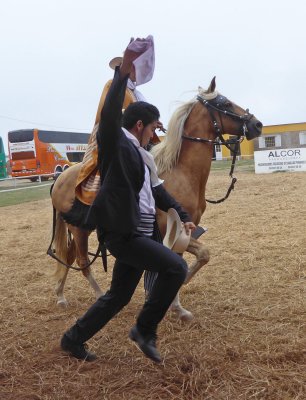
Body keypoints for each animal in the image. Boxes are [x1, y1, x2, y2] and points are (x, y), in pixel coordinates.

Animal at [49, 78, 262, 320]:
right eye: (225, 103)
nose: (257, 125)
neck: (181, 171)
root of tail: (60, 178)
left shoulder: (187, 228)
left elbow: (196, 257)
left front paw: (176, 301)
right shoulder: (168, 229)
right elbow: (194, 256)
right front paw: (175, 302)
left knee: (68, 257)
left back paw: (61, 296)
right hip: (79, 230)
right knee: (83, 263)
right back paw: (98, 295)